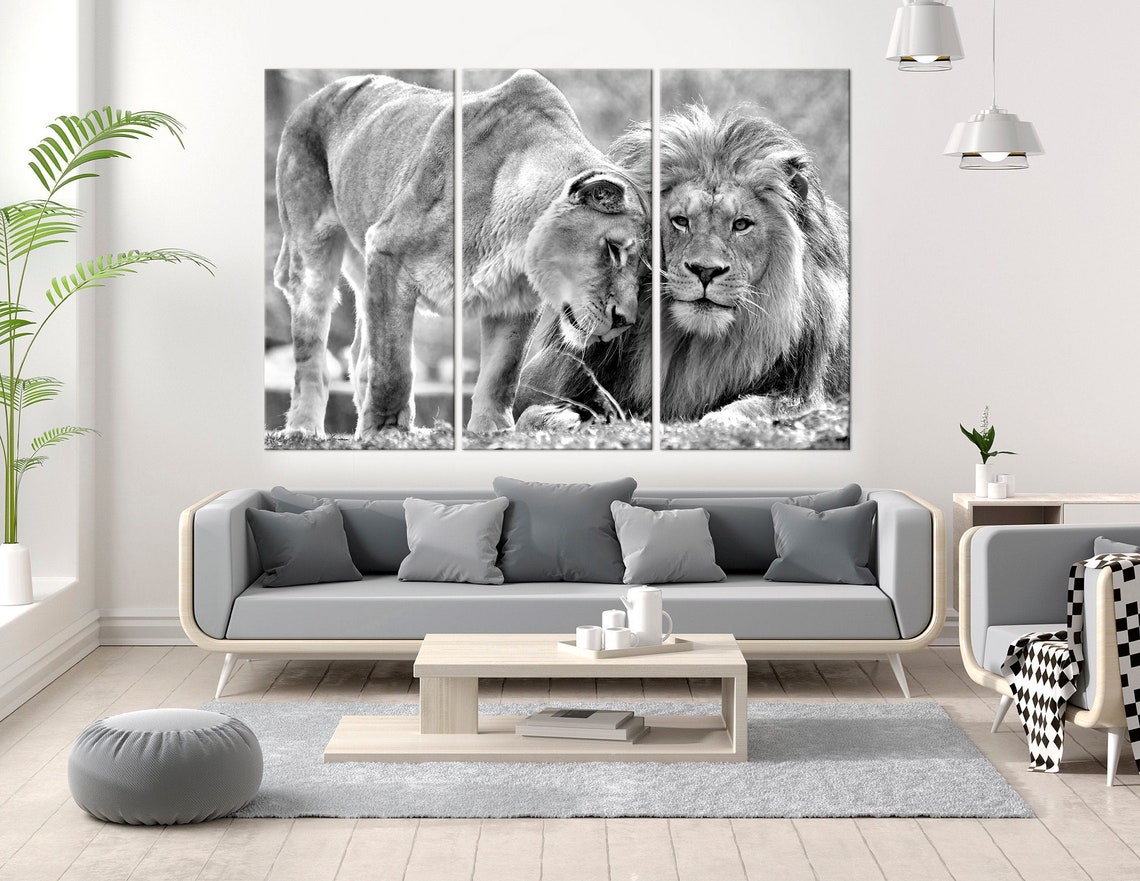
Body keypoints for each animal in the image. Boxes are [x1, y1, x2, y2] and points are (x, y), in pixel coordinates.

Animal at [273, 70, 646, 438]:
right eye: (614, 249)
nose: (624, 321)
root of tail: (318, 96)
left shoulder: (516, 298)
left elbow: (502, 372)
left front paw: (493, 429)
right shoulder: (387, 251)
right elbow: (393, 365)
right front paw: (386, 430)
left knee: (359, 352)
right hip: (312, 256)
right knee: (312, 353)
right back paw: (304, 428)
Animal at [515, 104, 849, 432]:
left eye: (741, 225)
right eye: (680, 221)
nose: (705, 271)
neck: (691, 347)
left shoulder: (806, 391)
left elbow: (767, 406)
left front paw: (722, 419)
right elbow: (525, 415)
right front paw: (556, 418)